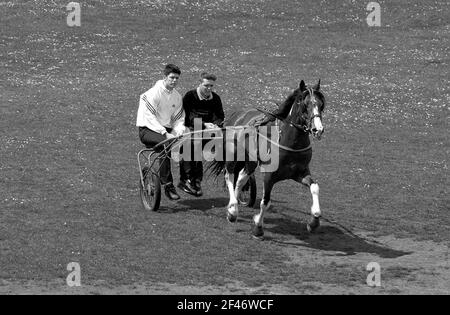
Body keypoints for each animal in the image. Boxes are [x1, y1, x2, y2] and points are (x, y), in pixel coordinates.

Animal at [209, 80, 326, 241]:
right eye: (305, 104)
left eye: (321, 104)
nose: (317, 129)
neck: (289, 142)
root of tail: (238, 115)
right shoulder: (269, 176)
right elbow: (265, 202)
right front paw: (258, 228)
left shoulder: (300, 173)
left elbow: (314, 187)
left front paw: (314, 221)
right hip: (234, 156)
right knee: (229, 176)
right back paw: (232, 210)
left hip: (250, 161)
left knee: (241, 179)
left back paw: (233, 207)